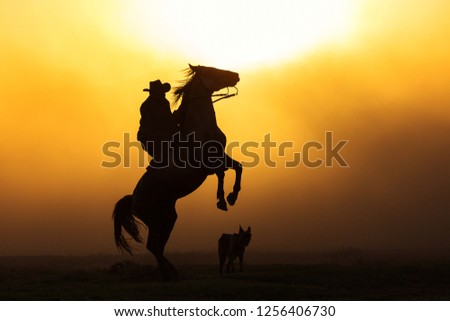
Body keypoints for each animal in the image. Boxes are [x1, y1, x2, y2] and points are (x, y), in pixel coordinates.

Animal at [113, 63, 243, 278]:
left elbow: (238, 168)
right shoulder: (208, 163)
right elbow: (223, 173)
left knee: (156, 247)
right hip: (156, 219)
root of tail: (133, 199)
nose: (236, 75)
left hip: (168, 217)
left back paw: (170, 272)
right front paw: (223, 199)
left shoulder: (221, 157)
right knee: (154, 246)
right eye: (211, 70)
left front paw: (230, 198)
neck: (200, 126)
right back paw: (169, 273)